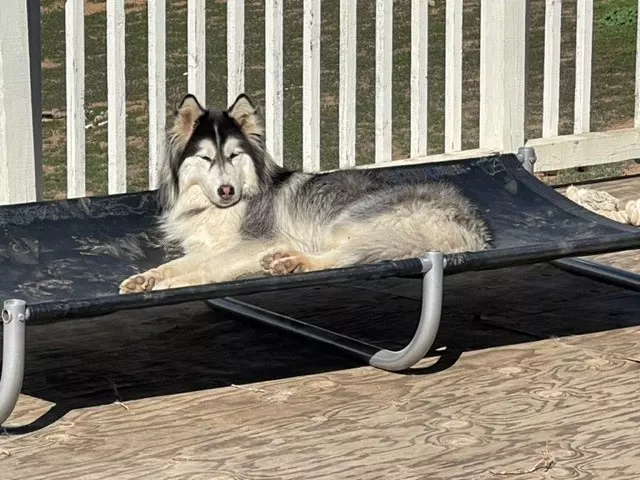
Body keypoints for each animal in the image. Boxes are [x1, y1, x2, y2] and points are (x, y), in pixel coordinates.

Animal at [117, 93, 492, 292]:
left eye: (234, 155)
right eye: (206, 158)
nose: (226, 190)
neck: (218, 210)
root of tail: (473, 229)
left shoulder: (253, 244)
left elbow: (207, 269)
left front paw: (172, 285)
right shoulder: (209, 248)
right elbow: (175, 264)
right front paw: (145, 278)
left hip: (350, 222)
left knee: (342, 259)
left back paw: (291, 262)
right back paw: (285, 262)